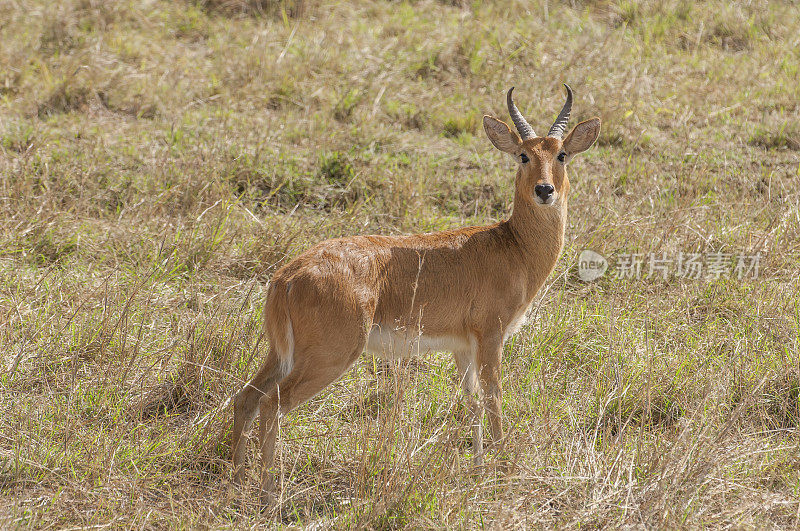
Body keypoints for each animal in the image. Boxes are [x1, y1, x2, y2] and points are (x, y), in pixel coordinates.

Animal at [231, 83, 600, 498]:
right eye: (523, 155)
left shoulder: (462, 346)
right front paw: (503, 471)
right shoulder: (491, 336)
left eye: (561, 154)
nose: (544, 190)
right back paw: (268, 494)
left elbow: (472, 402)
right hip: (330, 357)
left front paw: (478, 470)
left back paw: (237, 480)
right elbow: (494, 398)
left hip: (282, 355)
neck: (512, 246)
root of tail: (286, 277)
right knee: (271, 405)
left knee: (246, 398)